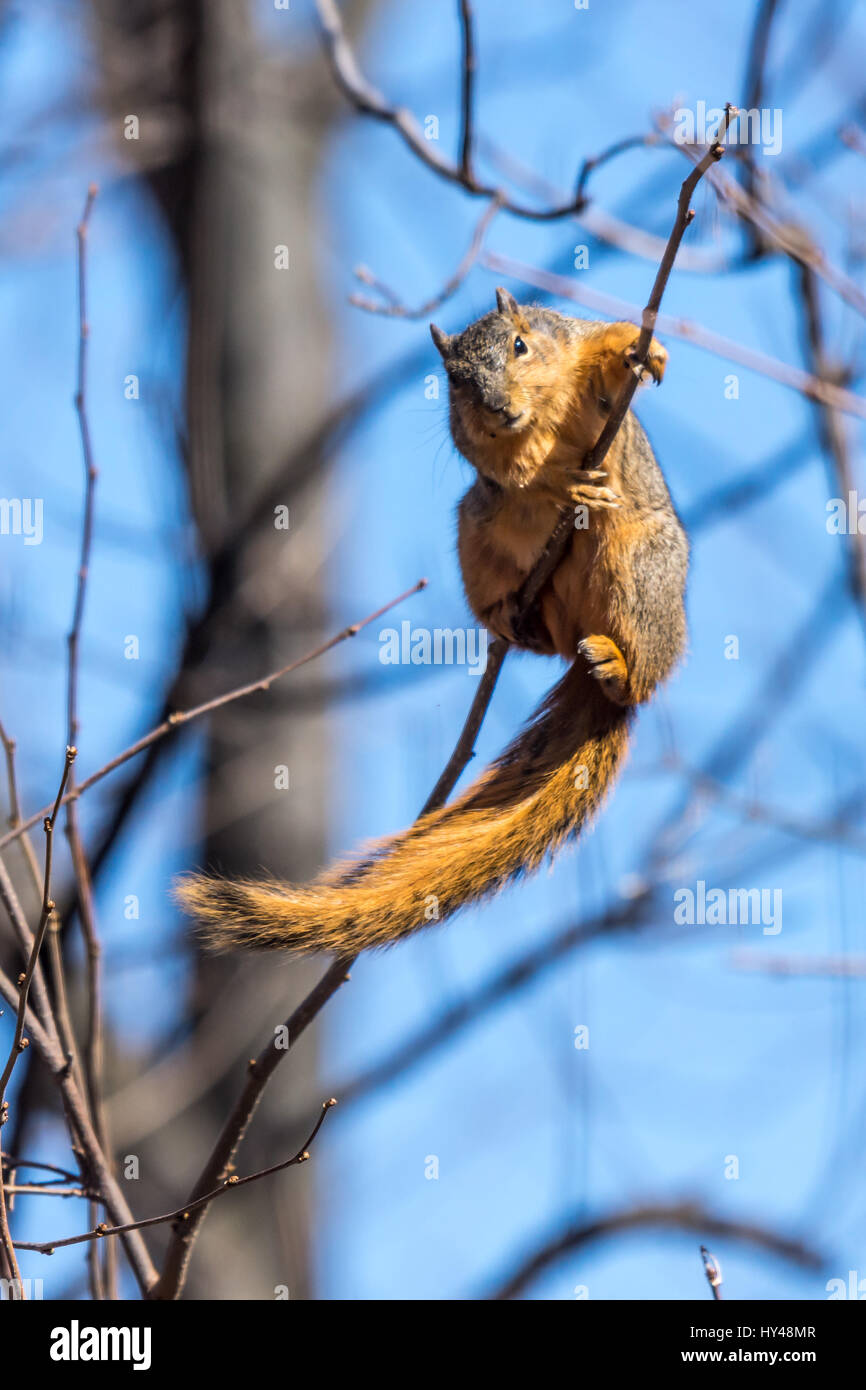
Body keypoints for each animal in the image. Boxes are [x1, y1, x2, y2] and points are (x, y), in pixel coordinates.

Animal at [177, 287, 692, 950]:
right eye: (454, 381)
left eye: (521, 344)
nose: (499, 407)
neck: (539, 419)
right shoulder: (477, 447)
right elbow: (511, 472)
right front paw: (558, 479)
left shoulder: (575, 350)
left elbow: (604, 347)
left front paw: (641, 349)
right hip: (475, 530)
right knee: (536, 624)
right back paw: (513, 617)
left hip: (641, 569)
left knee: (638, 672)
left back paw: (620, 665)